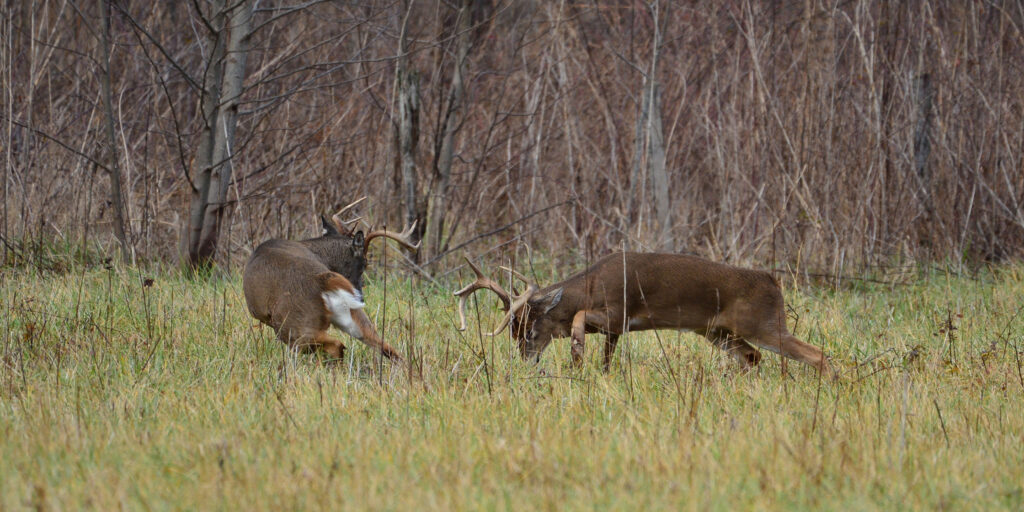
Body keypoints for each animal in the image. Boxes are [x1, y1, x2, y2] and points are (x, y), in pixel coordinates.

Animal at [243, 201, 419, 362]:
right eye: (365, 263)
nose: (360, 297)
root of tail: (323, 281)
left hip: (292, 324)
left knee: (334, 344)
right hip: (353, 316)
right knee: (387, 348)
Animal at [456, 251, 831, 376]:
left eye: (530, 329)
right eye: (513, 331)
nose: (526, 358)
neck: (589, 286)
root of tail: (773, 281)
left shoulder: (618, 313)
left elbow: (579, 319)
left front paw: (576, 351)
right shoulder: (615, 331)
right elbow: (606, 361)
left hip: (763, 323)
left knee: (817, 354)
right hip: (718, 332)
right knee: (753, 358)